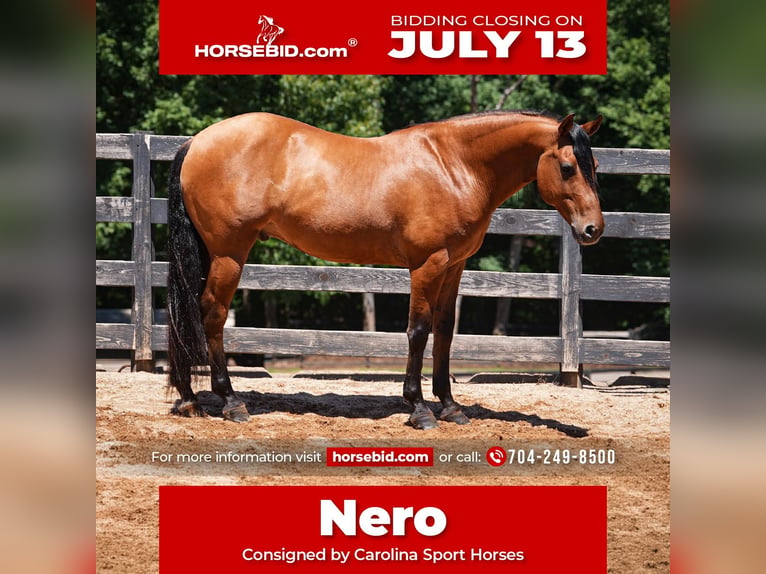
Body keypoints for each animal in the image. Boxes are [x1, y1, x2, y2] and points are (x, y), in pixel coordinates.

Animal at [166, 110, 603, 429]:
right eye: (568, 167)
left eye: (595, 164)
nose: (593, 230)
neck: (454, 165)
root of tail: (196, 141)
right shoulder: (427, 264)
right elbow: (418, 331)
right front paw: (420, 408)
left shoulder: (454, 265)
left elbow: (445, 332)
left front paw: (450, 406)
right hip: (229, 253)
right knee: (212, 315)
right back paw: (230, 402)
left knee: (189, 314)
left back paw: (189, 398)